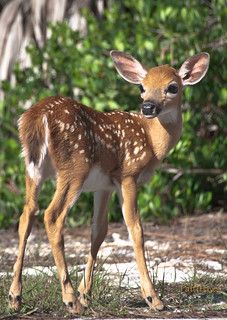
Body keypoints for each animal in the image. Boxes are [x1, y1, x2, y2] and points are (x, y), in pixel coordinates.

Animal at [9, 50, 210, 312]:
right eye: (142, 87)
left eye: (172, 87)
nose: (148, 107)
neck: (152, 141)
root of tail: (37, 115)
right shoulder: (128, 175)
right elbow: (136, 229)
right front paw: (153, 298)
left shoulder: (103, 186)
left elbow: (99, 231)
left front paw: (86, 293)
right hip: (74, 168)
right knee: (52, 216)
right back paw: (69, 299)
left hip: (33, 168)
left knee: (27, 214)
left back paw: (15, 297)